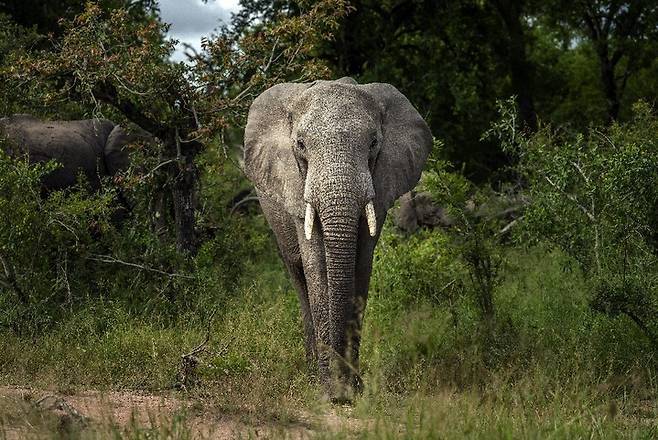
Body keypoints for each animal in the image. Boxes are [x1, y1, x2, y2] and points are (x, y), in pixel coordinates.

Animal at [243, 76, 434, 402]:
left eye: (373, 143)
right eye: (300, 145)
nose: (340, 393)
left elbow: (361, 266)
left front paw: (354, 389)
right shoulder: (296, 189)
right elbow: (316, 266)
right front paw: (329, 390)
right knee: (298, 277)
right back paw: (310, 371)